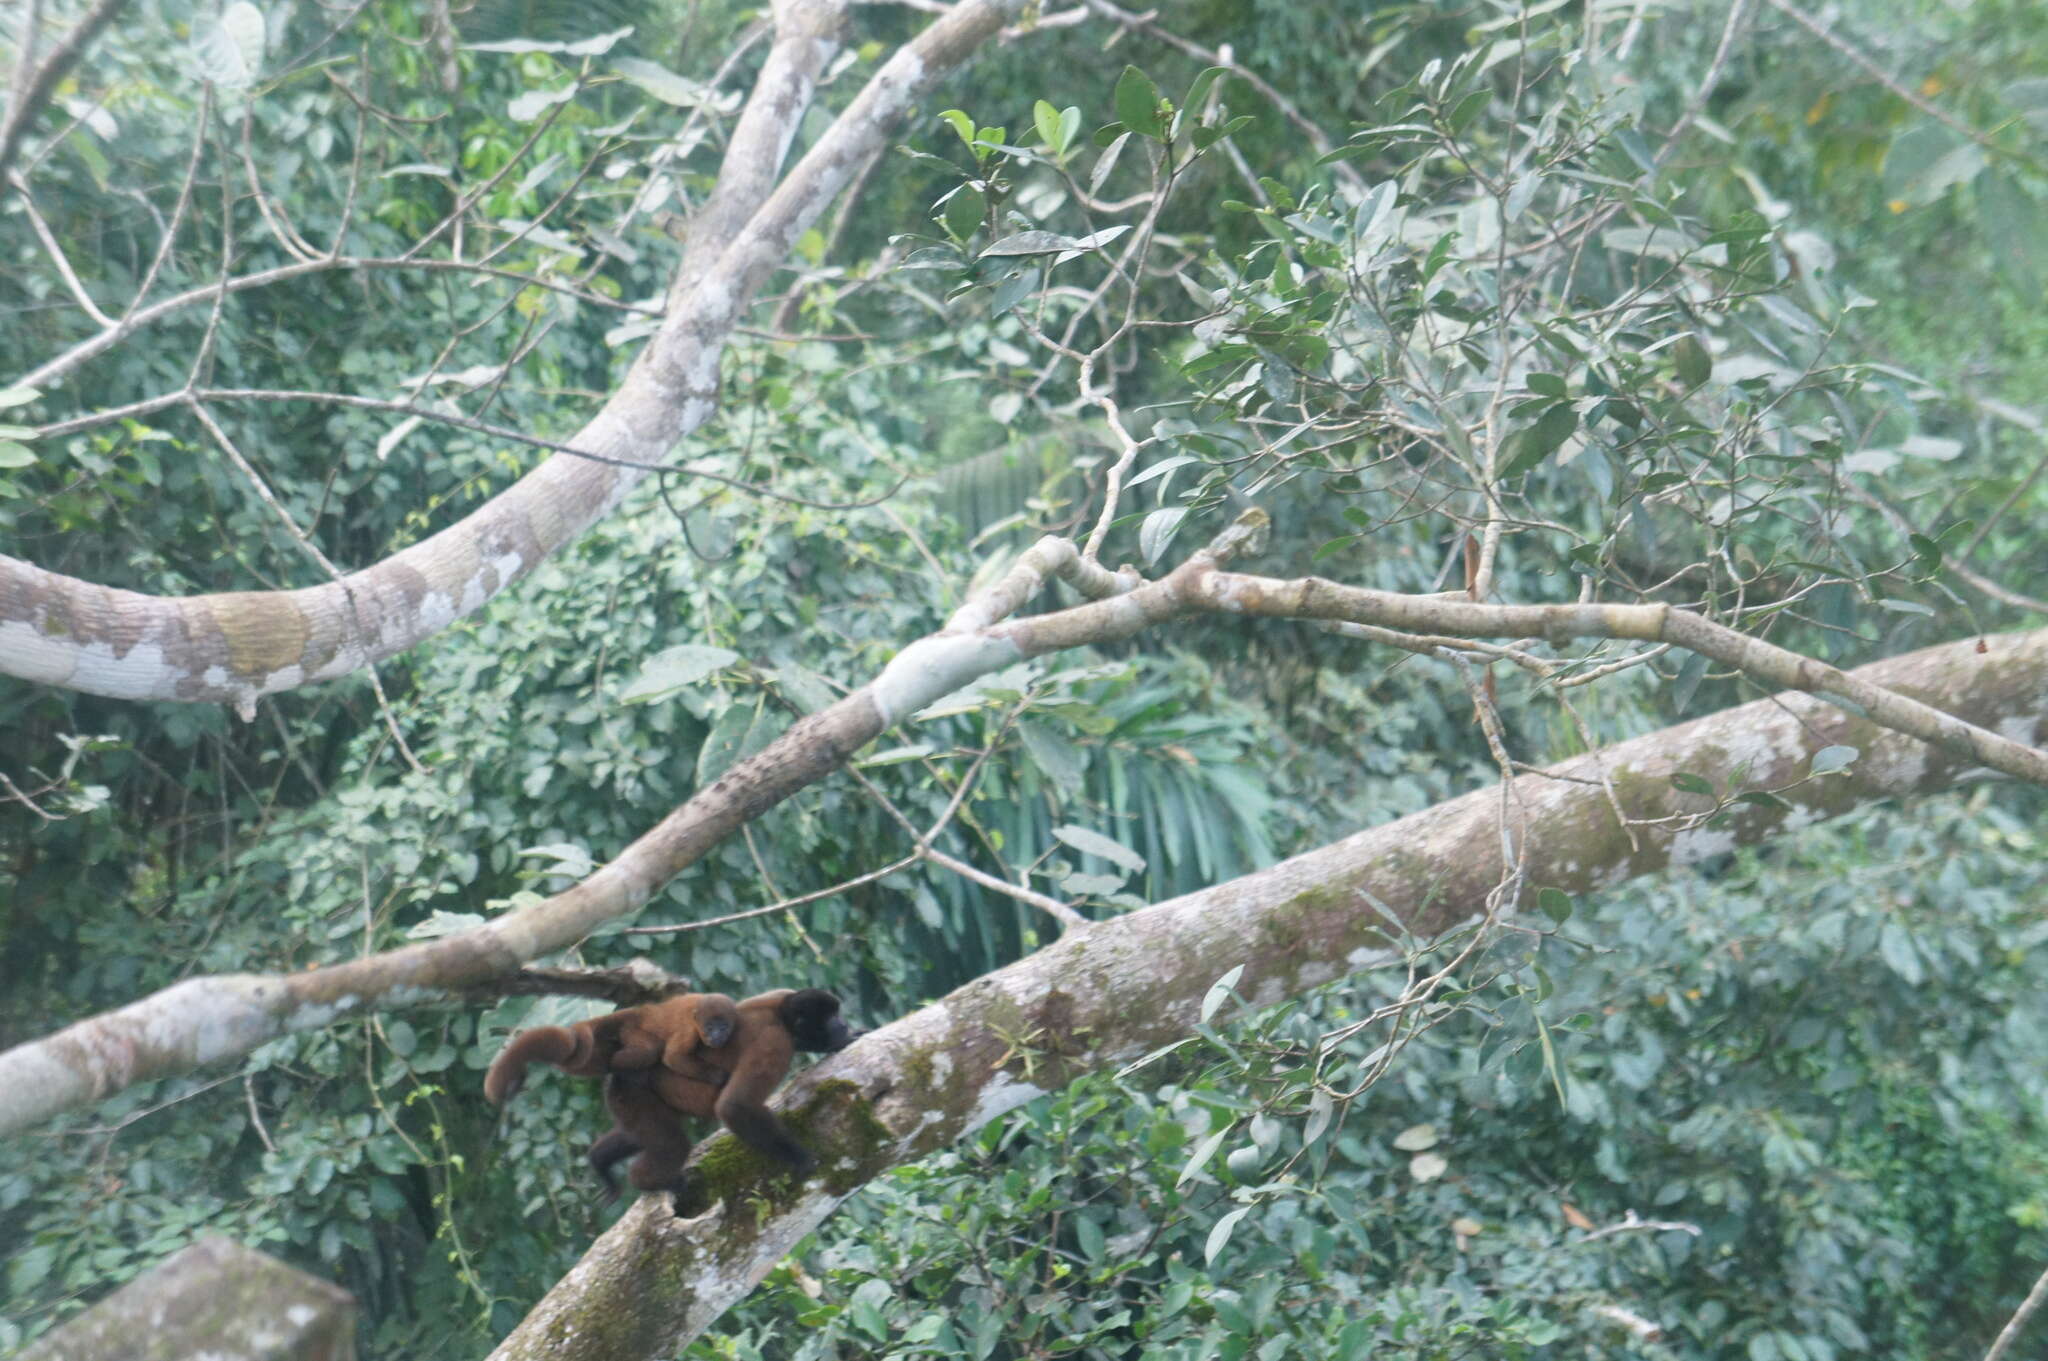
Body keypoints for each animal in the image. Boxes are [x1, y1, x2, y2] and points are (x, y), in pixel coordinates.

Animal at [487, 986, 856, 1203]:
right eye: (831, 1017)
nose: (844, 1025)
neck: (780, 1014)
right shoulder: (774, 1042)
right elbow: (735, 1106)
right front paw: (801, 1159)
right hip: (637, 1092)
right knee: (673, 1144)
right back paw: (647, 1181)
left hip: (627, 1097)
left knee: (640, 1134)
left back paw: (599, 1159)